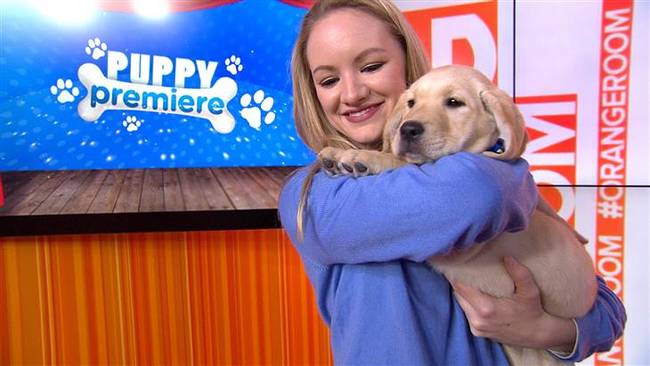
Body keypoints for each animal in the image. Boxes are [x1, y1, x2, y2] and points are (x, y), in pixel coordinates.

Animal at [316, 64, 596, 364]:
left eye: (454, 102)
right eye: (411, 103)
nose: (408, 128)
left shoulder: (459, 248)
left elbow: (404, 164)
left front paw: (362, 157)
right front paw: (342, 153)